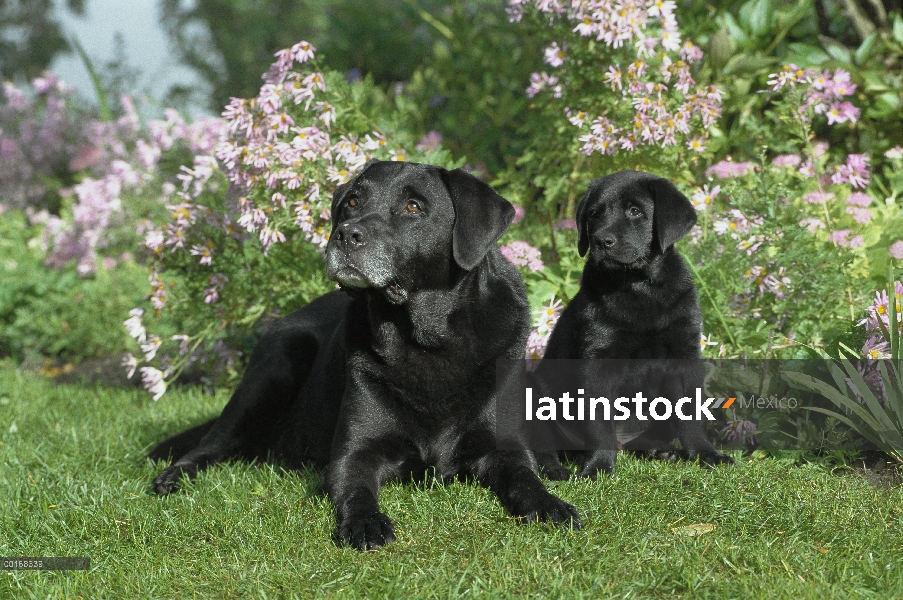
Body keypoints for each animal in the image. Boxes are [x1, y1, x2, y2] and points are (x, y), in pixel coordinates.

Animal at [148, 158, 580, 548]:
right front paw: (366, 523)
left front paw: (550, 504)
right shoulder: (354, 453)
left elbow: (525, 477)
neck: (425, 339)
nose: (344, 234)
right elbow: (356, 489)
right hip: (277, 364)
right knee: (214, 443)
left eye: (413, 206)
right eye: (353, 202)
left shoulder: (503, 447)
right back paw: (173, 475)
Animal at [536, 169, 736, 478]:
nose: (601, 241)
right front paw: (598, 466)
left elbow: (691, 414)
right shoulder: (597, 360)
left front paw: (706, 453)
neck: (639, 285)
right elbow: (599, 423)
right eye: (594, 214)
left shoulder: (684, 352)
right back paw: (555, 469)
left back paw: (659, 449)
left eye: (635, 211)